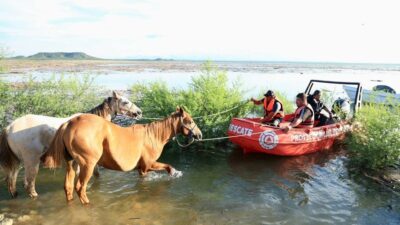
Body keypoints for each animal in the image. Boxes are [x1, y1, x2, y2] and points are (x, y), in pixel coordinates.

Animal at [0, 90, 142, 198]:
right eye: (125, 102)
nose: (139, 112)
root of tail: (9, 128)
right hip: (32, 161)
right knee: (29, 183)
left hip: (18, 162)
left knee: (12, 181)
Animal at [42, 107, 202, 204]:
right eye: (189, 121)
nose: (199, 135)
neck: (153, 136)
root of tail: (69, 123)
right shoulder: (148, 165)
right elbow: (169, 167)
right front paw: (174, 174)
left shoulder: (142, 170)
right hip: (88, 165)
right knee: (80, 188)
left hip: (72, 164)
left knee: (68, 187)